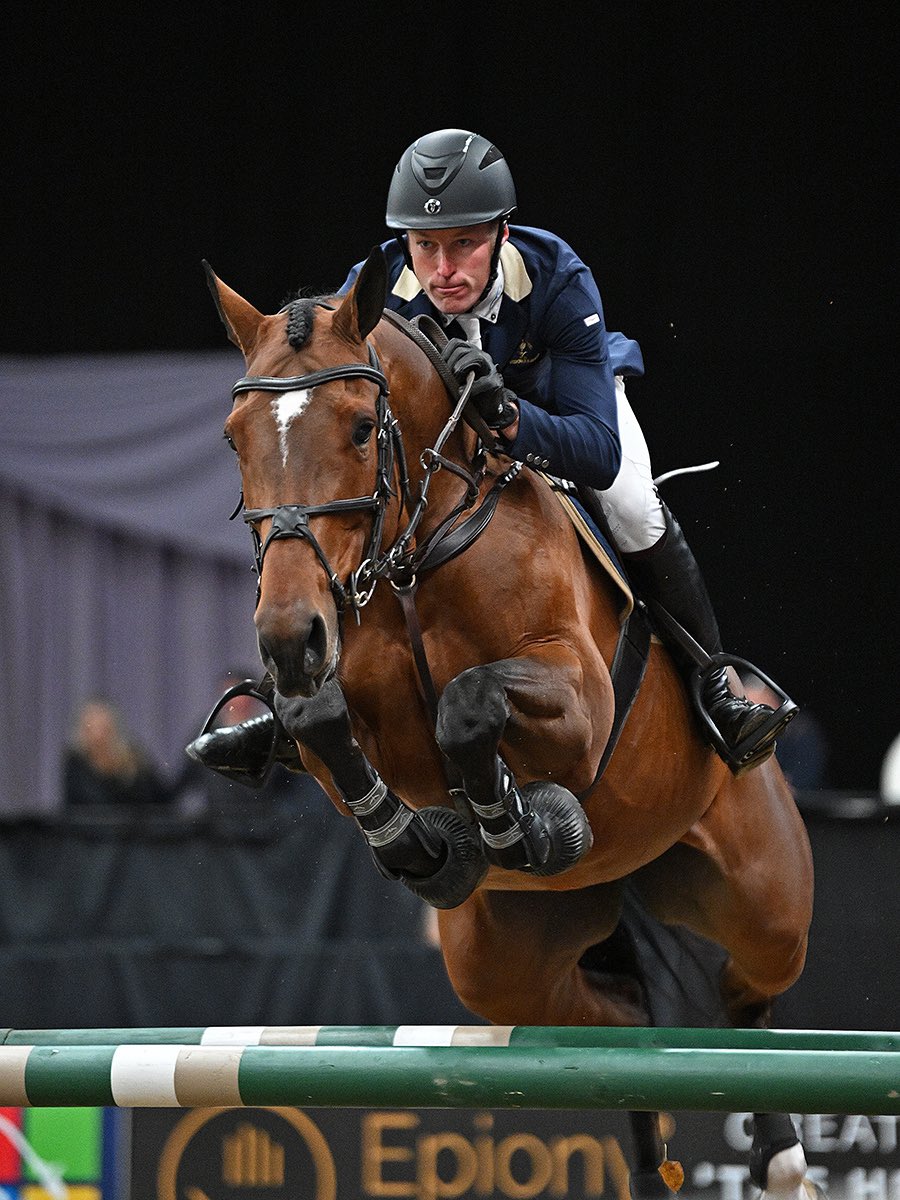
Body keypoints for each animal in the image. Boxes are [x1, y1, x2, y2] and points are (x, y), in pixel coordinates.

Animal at [202, 246, 817, 1200]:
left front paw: (515, 822)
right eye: (236, 439)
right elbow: (321, 721)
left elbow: (469, 704)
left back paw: (781, 1154)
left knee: (745, 999)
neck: (414, 555)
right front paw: (429, 845)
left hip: (764, 899)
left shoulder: (580, 704)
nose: (288, 638)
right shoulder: (330, 701)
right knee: (612, 1032)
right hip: (505, 965)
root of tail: (622, 879)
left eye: (360, 430)